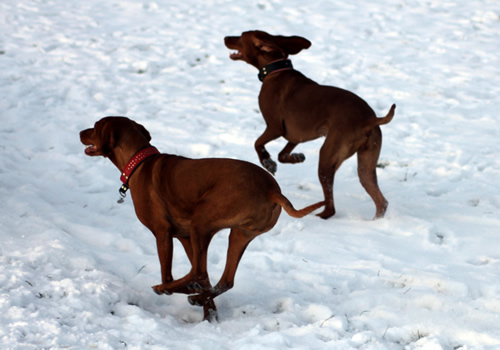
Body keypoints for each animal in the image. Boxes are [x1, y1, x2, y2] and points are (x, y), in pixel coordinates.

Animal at [78, 117, 324, 322]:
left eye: (96, 126)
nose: (80, 132)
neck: (139, 163)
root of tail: (272, 190)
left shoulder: (163, 233)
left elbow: (170, 273)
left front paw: (186, 294)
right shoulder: (186, 237)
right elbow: (205, 280)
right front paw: (209, 313)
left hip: (202, 221)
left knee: (197, 272)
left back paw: (171, 290)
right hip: (238, 234)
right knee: (222, 280)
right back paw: (196, 296)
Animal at [225, 31, 396, 220]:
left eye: (241, 36)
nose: (226, 38)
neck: (276, 70)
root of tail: (371, 119)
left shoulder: (275, 127)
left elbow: (257, 144)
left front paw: (267, 162)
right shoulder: (297, 136)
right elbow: (282, 155)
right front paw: (296, 157)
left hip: (327, 157)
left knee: (331, 208)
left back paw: (317, 216)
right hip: (366, 166)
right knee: (381, 201)